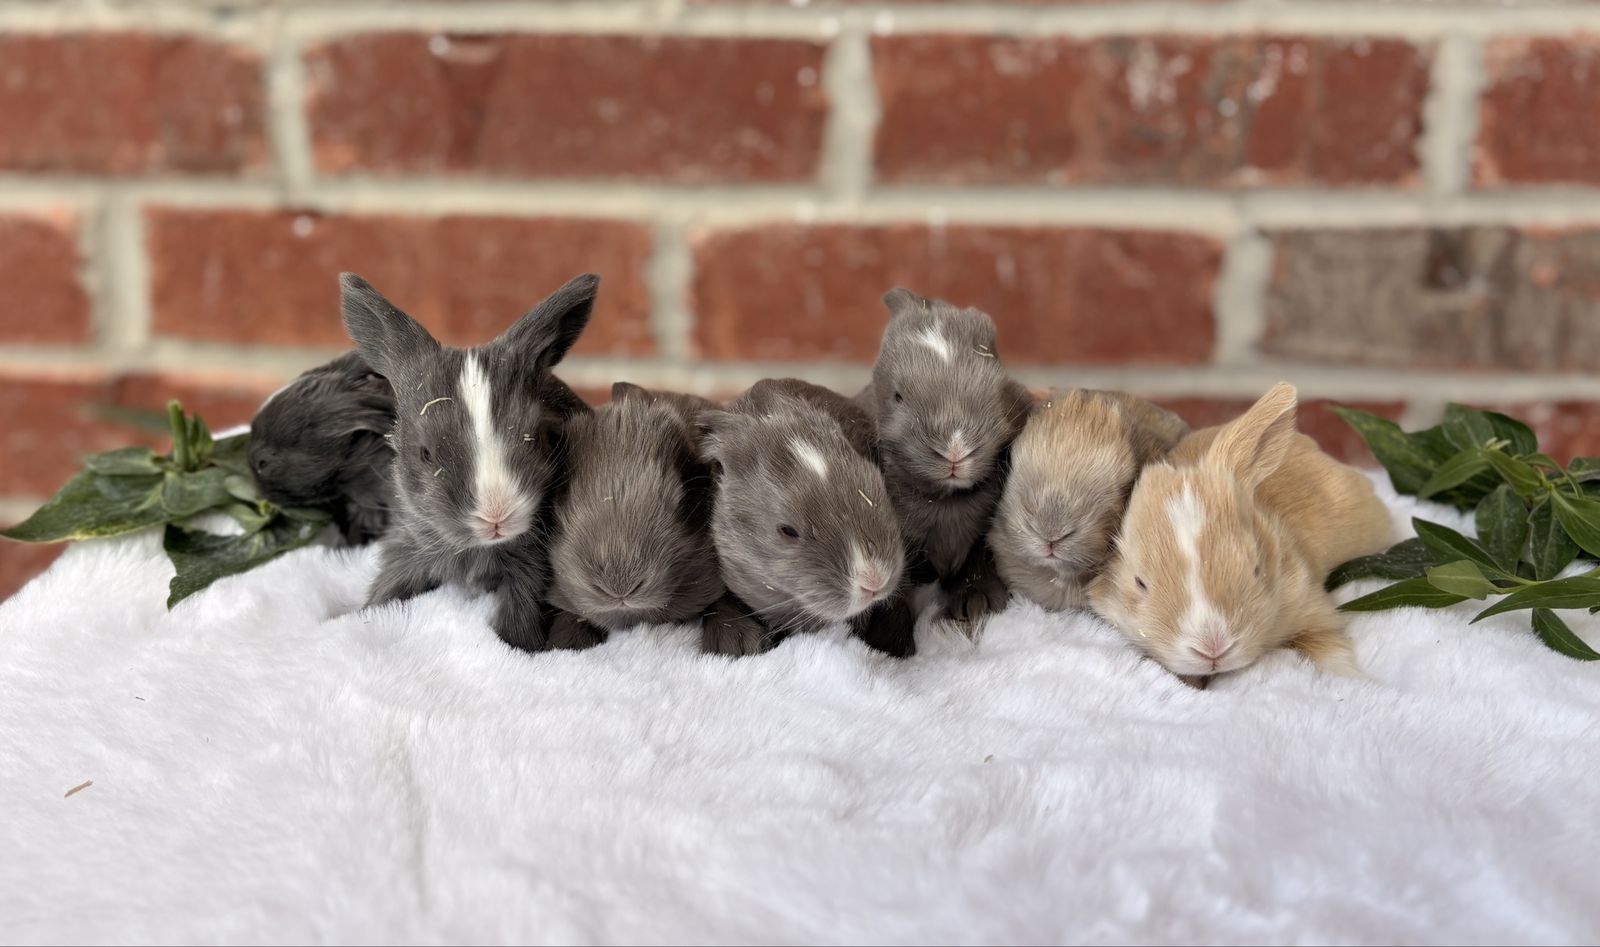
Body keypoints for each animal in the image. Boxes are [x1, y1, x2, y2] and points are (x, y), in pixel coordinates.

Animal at [340, 271, 595, 652]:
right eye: (425, 453)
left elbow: (520, 617)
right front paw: (359, 616)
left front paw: (517, 647)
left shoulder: (530, 570)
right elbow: (388, 589)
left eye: (538, 437)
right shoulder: (406, 549)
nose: (496, 516)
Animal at [856, 287, 1034, 628]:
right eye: (898, 397)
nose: (955, 449)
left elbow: (978, 564)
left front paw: (978, 604)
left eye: (997, 390)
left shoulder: (981, 540)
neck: (945, 499)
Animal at [1088, 383, 1394, 682]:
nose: (1213, 647)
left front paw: (1355, 678)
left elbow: (1330, 649)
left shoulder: (1311, 604)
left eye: (1256, 569)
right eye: (1140, 582)